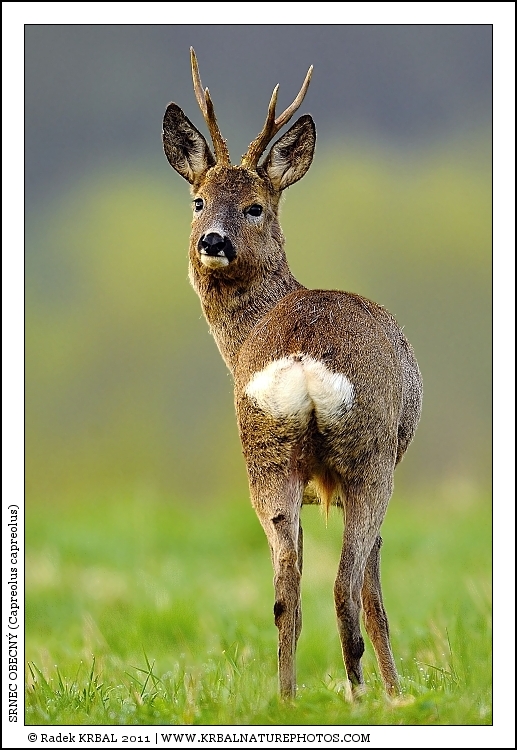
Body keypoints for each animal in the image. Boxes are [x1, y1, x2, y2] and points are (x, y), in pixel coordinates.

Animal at [162, 49, 423, 700]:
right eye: (198, 201)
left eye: (254, 205)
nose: (212, 240)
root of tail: (304, 363)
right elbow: (374, 586)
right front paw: (397, 690)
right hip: (370, 456)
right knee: (347, 584)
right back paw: (361, 692)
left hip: (266, 456)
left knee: (286, 591)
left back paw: (287, 695)